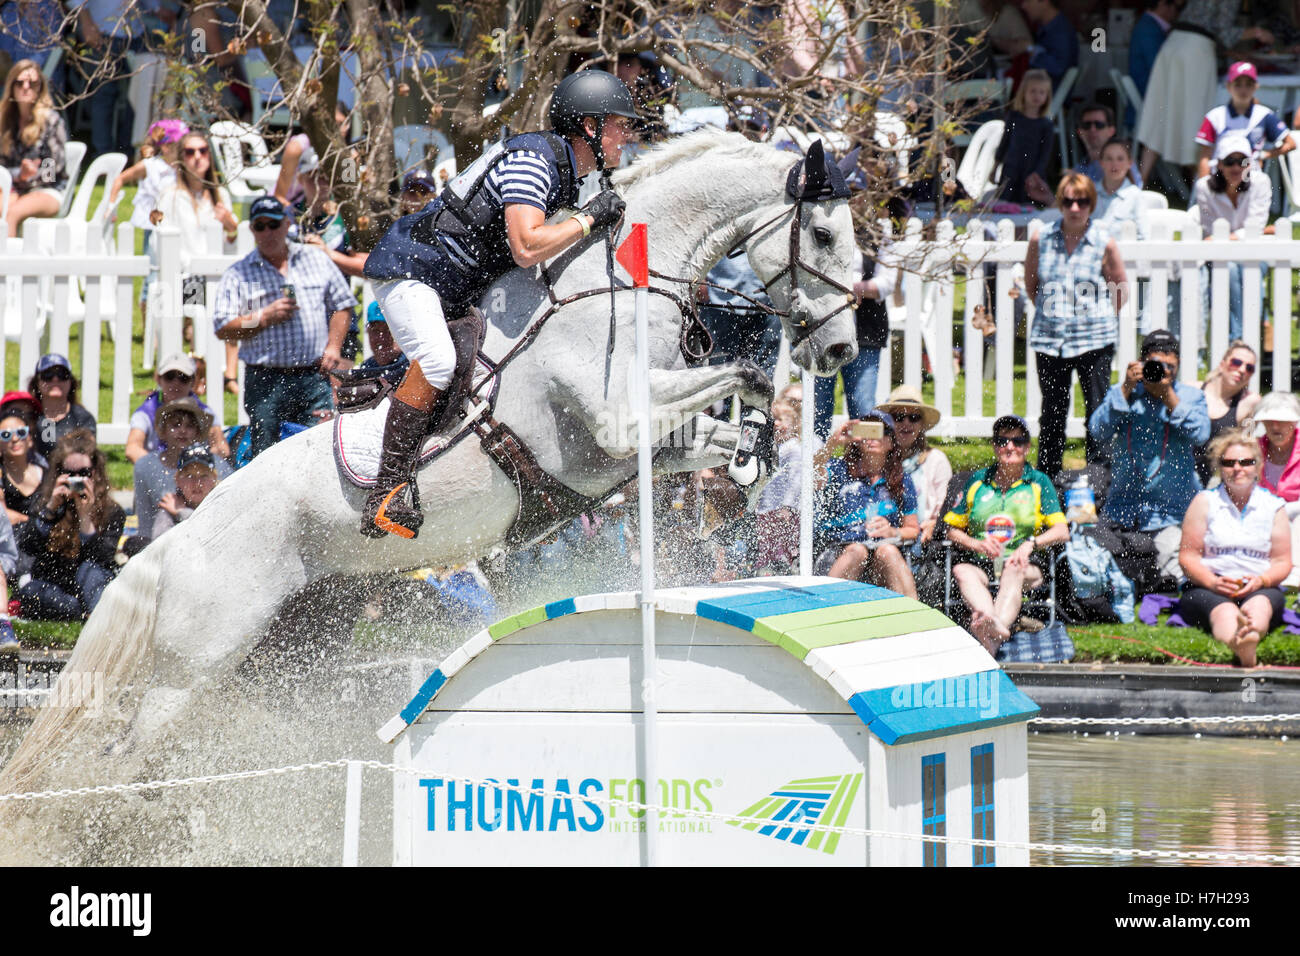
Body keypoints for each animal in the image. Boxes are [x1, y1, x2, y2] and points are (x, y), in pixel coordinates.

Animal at [0, 130, 863, 796]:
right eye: (823, 237)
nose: (842, 351)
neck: (615, 280)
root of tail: (175, 539)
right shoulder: (616, 422)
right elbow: (743, 372)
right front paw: (763, 434)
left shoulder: (636, 443)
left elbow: (723, 422)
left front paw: (752, 467)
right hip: (191, 667)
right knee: (125, 759)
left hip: (293, 645)